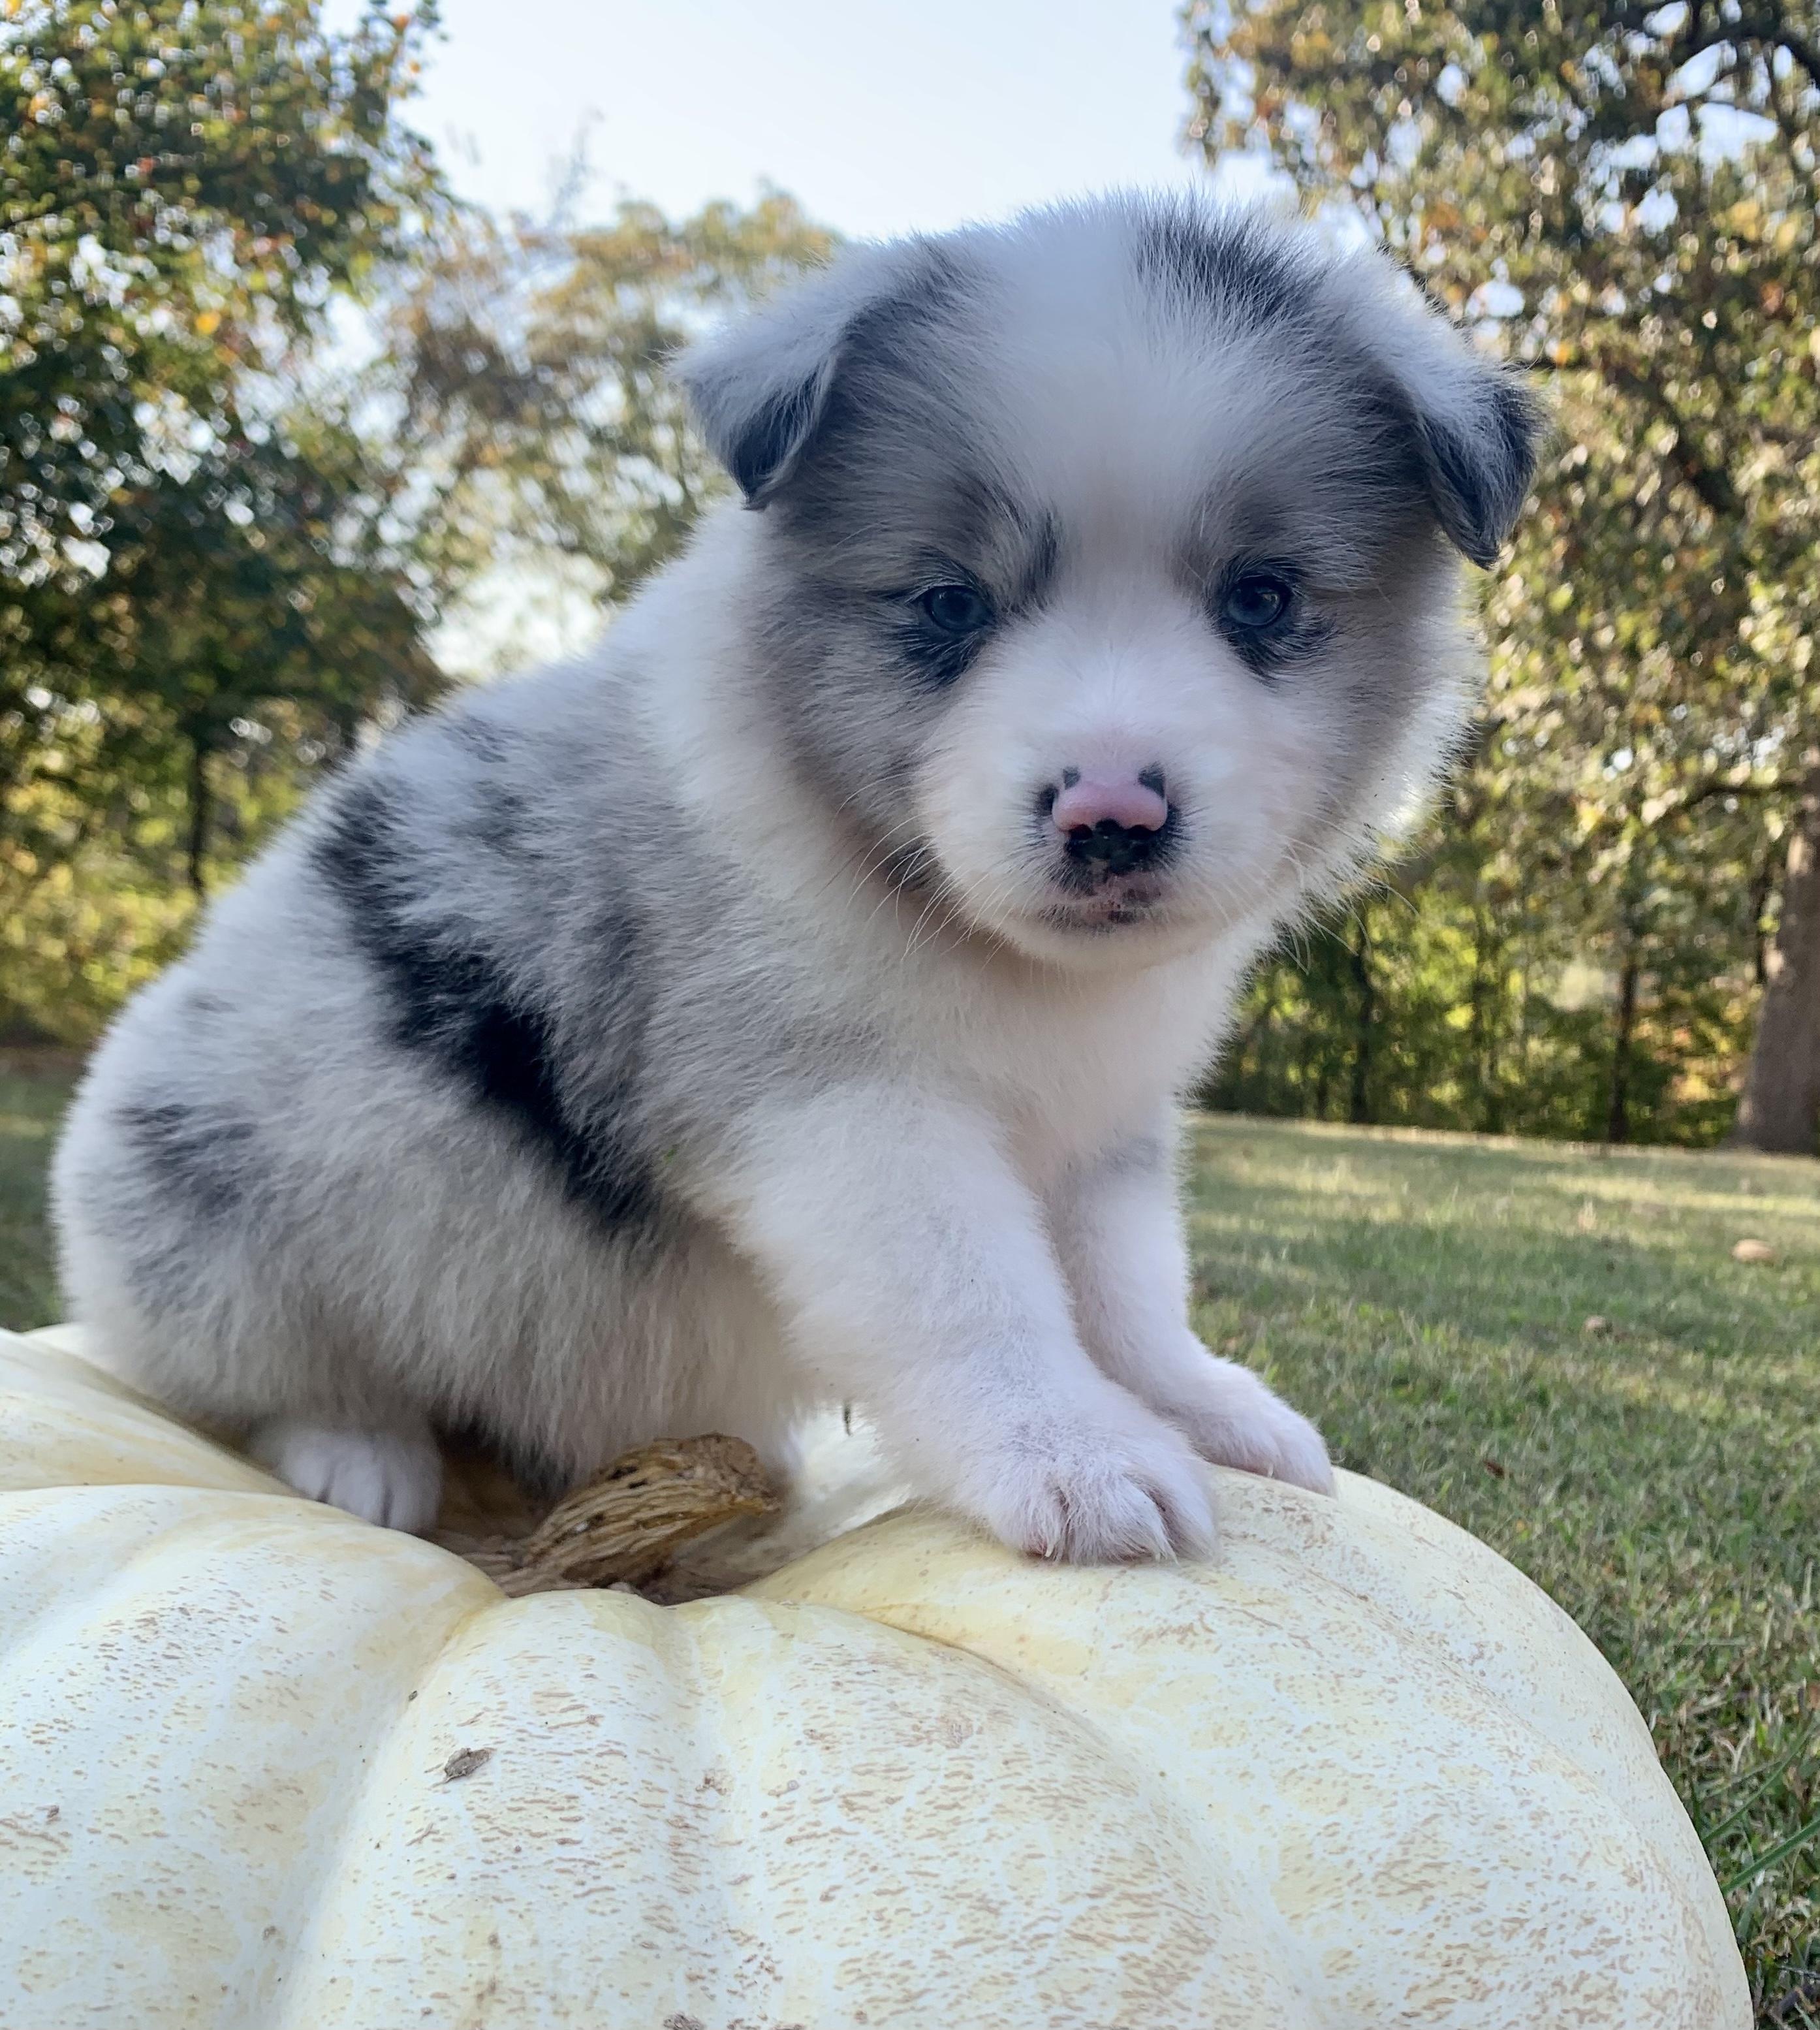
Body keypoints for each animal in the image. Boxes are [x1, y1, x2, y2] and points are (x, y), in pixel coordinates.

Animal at [53, 194, 1538, 1560]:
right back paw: (356, 1454)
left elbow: (1124, 1284)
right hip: (233, 1217)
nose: (1109, 816)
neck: (969, 937)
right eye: (946, 604)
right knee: (243, 1378)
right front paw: (1069, 1452)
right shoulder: (845, 1114)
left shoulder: (1101, 1123)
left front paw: (1194, 1405)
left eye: (1261, 599)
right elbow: (970, 1292)